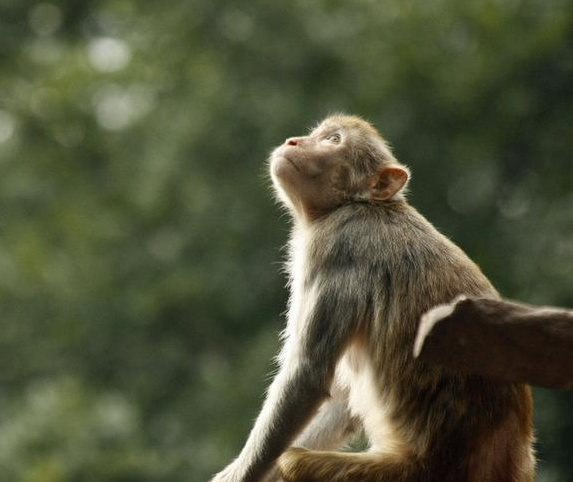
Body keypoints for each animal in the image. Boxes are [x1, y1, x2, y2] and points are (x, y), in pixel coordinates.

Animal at [208, 114, 536, 482]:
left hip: (401, 473)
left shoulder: (335, 248)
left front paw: (239, 474)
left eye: (333, 140)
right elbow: (340, 398)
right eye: (318, 134)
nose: (294, 142)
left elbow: (308, 374)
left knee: (292, 461)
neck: (356, 205)